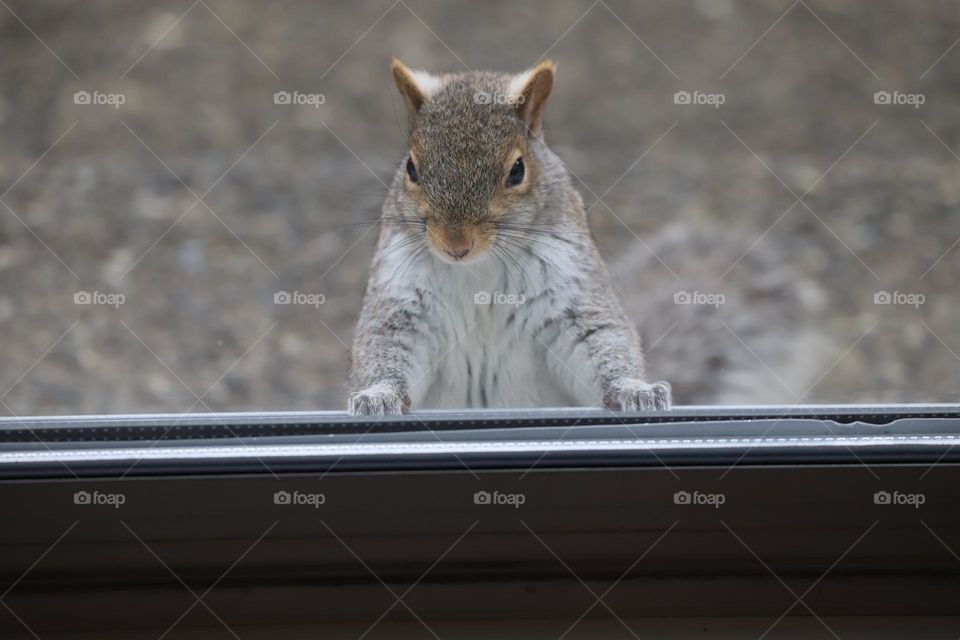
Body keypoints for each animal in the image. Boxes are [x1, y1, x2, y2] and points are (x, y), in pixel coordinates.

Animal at [346, 60, 824, 416]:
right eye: (411, 167)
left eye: (517, 170)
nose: (455, 245)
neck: (478, 268)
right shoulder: (402, 300)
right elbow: (384, 347)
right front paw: (378, 397)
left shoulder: (571, 295)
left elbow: (599, 342)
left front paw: (635, 390)